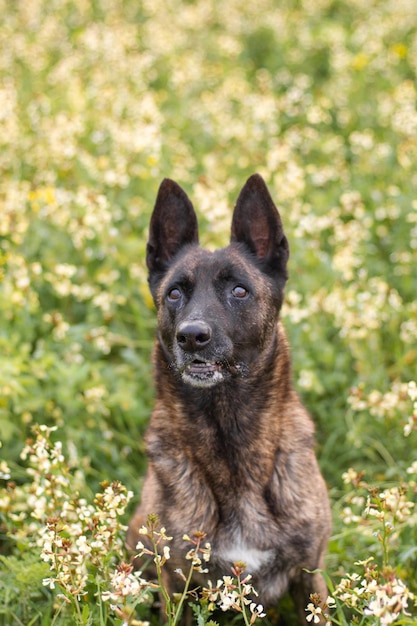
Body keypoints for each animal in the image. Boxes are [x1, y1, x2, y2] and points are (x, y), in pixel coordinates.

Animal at [127, 173, 332, 620]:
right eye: (174, 293)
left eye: (239, 291)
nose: (191, 336)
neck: (229, 432)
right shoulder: (177, 584)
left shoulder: (309, 575)